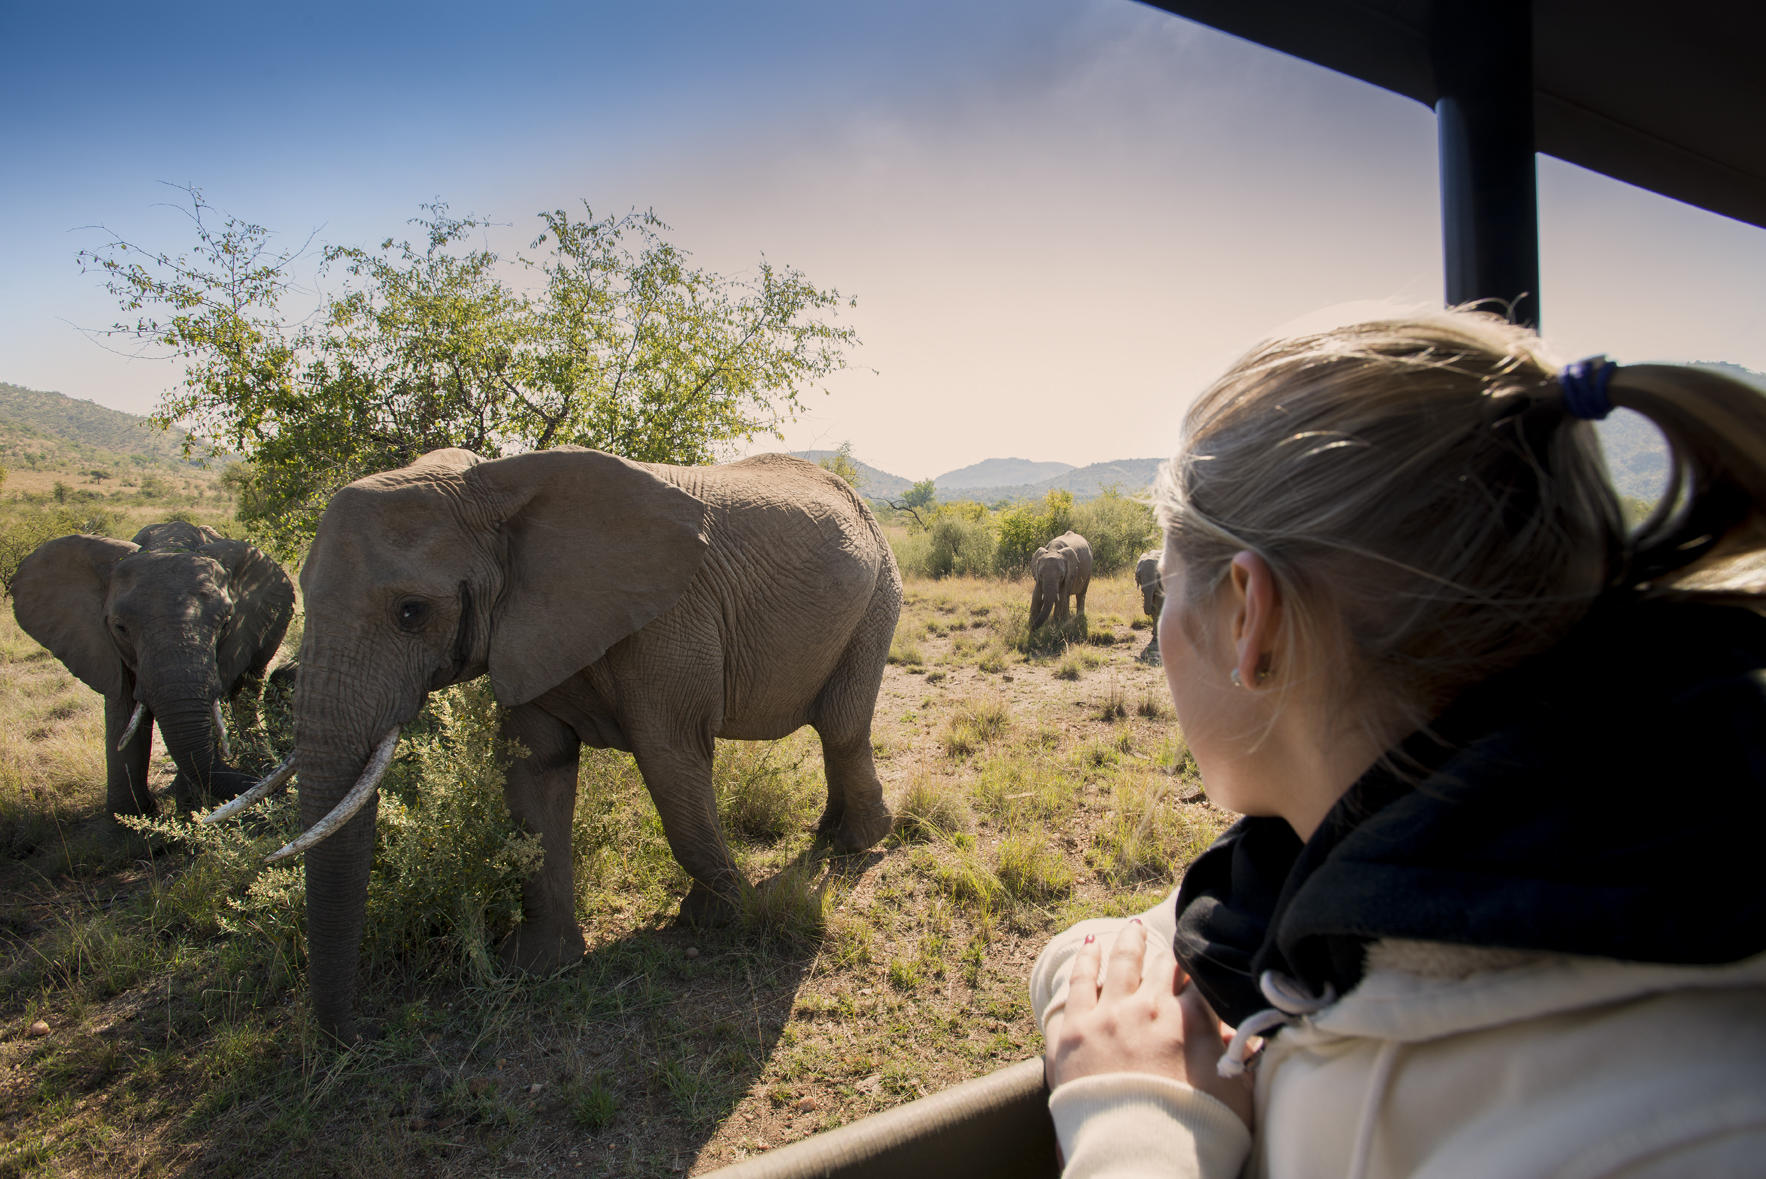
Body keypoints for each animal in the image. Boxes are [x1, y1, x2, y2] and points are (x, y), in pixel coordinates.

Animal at [11, 518, 293, 815]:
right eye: (120, 627)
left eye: (226, 624)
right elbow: (122, 708)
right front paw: (128, 820)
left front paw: (187, 810)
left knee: (246, 691)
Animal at [229, 448, 904, 1037]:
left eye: (411, 612)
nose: (360, 1034)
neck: (498, 488)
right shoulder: (527, 630)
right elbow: (535, 776)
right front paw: (538, 968)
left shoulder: (670, 621)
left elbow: (671, 762)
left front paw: (713, 921)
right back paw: (831, 835)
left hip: (880, 596)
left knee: (842, 727)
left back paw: (856, 844)